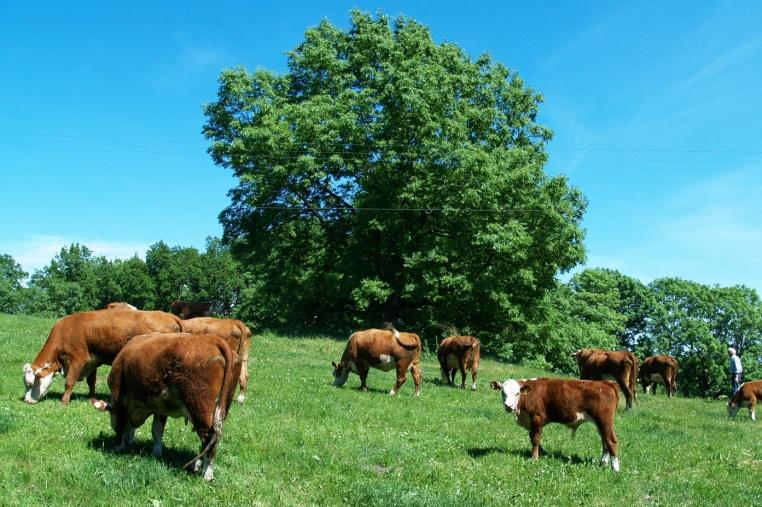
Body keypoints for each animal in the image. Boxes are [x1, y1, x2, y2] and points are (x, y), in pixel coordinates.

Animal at [23, 310, 182, 404]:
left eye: (30, 383)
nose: (26, 400)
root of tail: (170, 315)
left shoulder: (78, 359)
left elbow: (69, 382)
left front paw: (64, 402)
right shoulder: (91, 362)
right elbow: (91, 382)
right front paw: (92, 399)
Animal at [95, 334, 239, 480]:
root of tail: (213, 339)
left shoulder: (120, 401)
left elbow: (120, 426)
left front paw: (118, 448)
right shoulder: (160, 409)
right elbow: (157, 430)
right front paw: (156, 453)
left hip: (199, 408)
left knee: (209, 439)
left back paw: (207, 474)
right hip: (221, 408)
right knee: (210, 439)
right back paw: (197, 465)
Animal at [490, 378, 620, 472]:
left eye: (517, 393)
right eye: (503, 392)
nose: (509, 406)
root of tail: (606, 383)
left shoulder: (536, 418)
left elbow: (535, 439)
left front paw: (534, 458)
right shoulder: (531, 422)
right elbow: (533, 438)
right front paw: (541, 453)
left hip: (604, 420)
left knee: (611, 441)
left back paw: (615, 469)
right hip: (600, 424)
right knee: (604, 442)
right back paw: (603, 464)